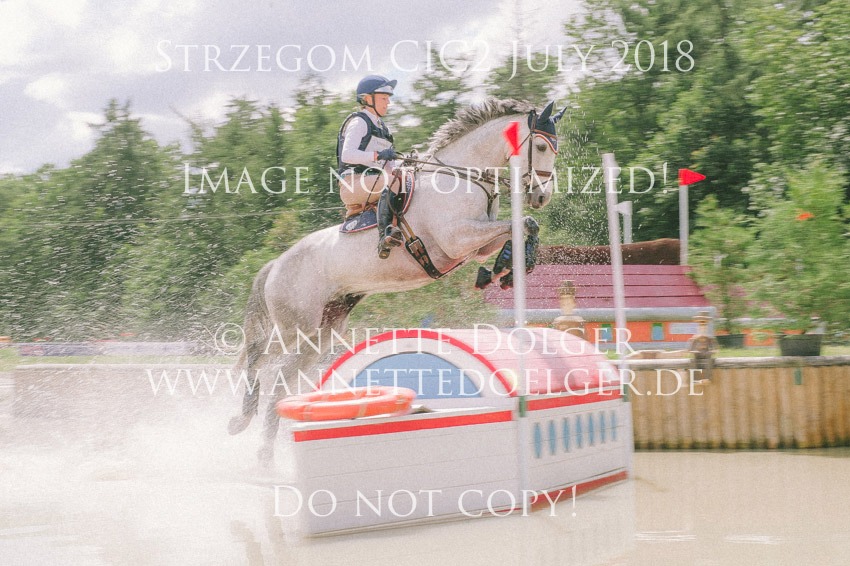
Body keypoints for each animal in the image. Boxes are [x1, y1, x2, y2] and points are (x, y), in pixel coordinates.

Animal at [227, 98, 564, 463]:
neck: (462, 176)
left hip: (323, 332)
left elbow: (522, 226)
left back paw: (265, 454)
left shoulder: (476, 244)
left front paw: (507, 266)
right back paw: (239, 418)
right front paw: (507, 265)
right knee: (256, 356)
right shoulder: (458, 238)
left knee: (280, 379)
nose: (542, 197)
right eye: (541, 146)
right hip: (294, 326)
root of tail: (276, 264)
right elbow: (522, 223)